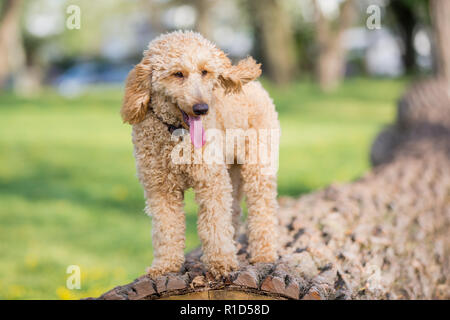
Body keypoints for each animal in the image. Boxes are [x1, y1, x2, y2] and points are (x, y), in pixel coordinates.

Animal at [121, 31, 280, 278]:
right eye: (178, 74)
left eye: (205, 71)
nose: (202, 108)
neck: (177, 132)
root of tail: (258, 87)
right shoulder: (160, 188)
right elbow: (166, 228)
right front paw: (165, 265)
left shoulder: (210, 181)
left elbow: (214, 223)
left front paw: (221, 263)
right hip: (230, 171)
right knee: (234, 210)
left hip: (258, 166)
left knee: (262, 208)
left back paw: (264, 253)